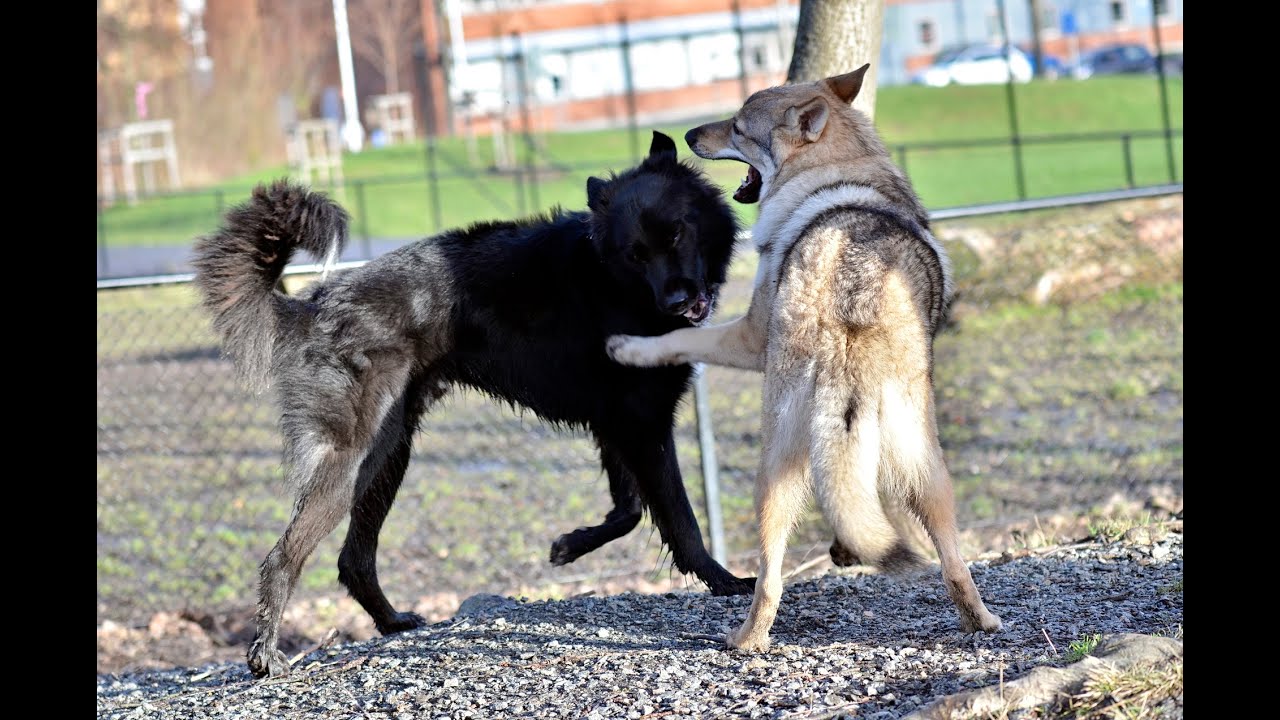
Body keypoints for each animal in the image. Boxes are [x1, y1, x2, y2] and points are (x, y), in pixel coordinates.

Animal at [190, 131, 747, 676]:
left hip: (387, 458)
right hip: (355, 459)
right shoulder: (643, 426)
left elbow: (628, 509)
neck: (609, 279)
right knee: (283, 558)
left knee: (353, 560)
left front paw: (569, 544)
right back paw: (265, 656)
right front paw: (725, 582)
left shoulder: (618, 425)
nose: (678, 304)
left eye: (675, 234)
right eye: (635, 254)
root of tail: (313, 304)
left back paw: (392, 622)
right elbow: (681, 520)